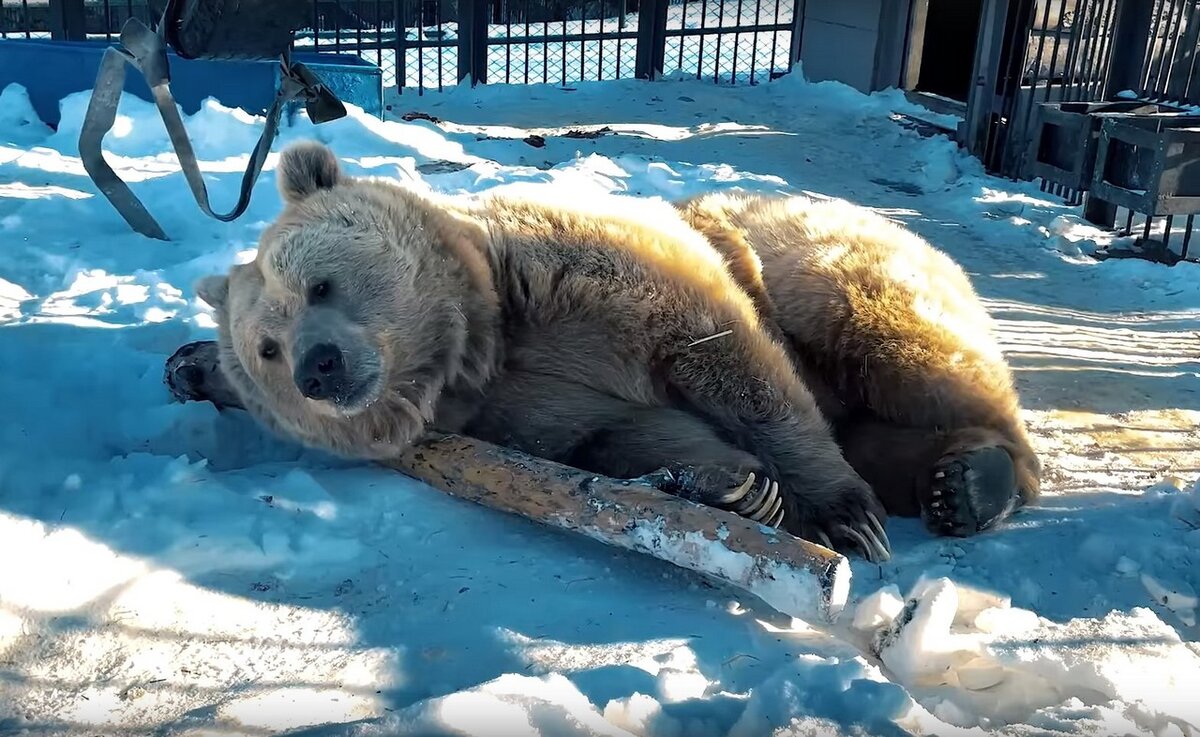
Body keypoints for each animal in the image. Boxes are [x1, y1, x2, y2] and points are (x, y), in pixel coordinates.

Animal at [194, 141, 892, 564]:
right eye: (267, 348)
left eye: (319, 284)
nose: (319, 367)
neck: (478, 340)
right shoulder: (515, 406)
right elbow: (616, 435)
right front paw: (739, 489)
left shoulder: (582, 279)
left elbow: (727, 358)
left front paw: (848, 515)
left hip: (795, 256)